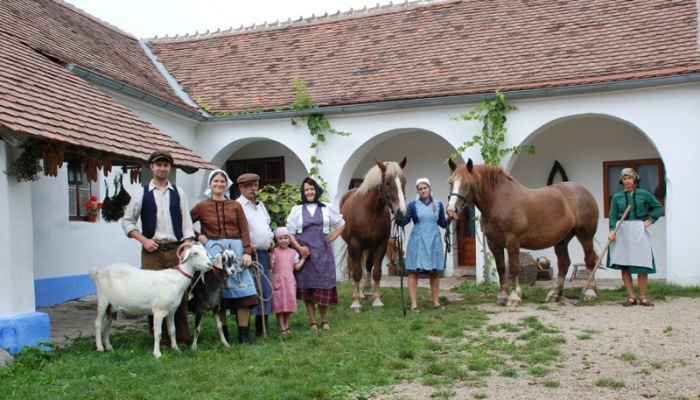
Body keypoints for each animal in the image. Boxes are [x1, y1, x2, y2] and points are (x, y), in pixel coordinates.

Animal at [340, 157, 408, 312]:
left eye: (404, 181)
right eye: (387, 182)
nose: (401, 212)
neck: (370, 212)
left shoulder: (380, 244)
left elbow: (376, 271)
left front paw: (377, 300)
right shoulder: (355, 244)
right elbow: (357, 272)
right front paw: (355, 303)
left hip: (370, 246)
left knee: (368, 265)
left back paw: (367, 292)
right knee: (357, 266)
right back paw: (359, 294)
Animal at [446, 159, 600, 306]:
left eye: (467, 183)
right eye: (451, 182)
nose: (451, 210)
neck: (500, 201)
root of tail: (584, 191)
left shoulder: (512, 241)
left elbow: (514, 268)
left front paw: (514, 297)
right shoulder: (493, 243)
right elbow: (501, 268)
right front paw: (502, 296)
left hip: (585, 236)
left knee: (590, 260)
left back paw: (590, 292)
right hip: (562, 240)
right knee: (564, 263)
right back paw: (554, 294)